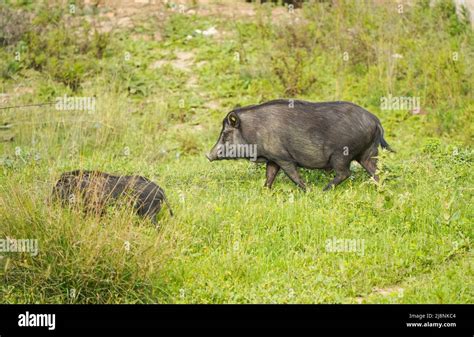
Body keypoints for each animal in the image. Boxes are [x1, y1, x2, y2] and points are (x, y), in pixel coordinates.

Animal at [206, 98, 394, 190]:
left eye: (225, 133)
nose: (207, 155)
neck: (254, 131)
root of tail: (375, 120)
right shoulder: (273, 158)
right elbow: (269, 176)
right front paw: (264, 191)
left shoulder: (283, 157)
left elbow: (293, 176)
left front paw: (308, 190)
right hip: (368, 152)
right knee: (376, 172)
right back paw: (380, 189)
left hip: (341, 154)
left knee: (345, 173)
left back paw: (324, 190)